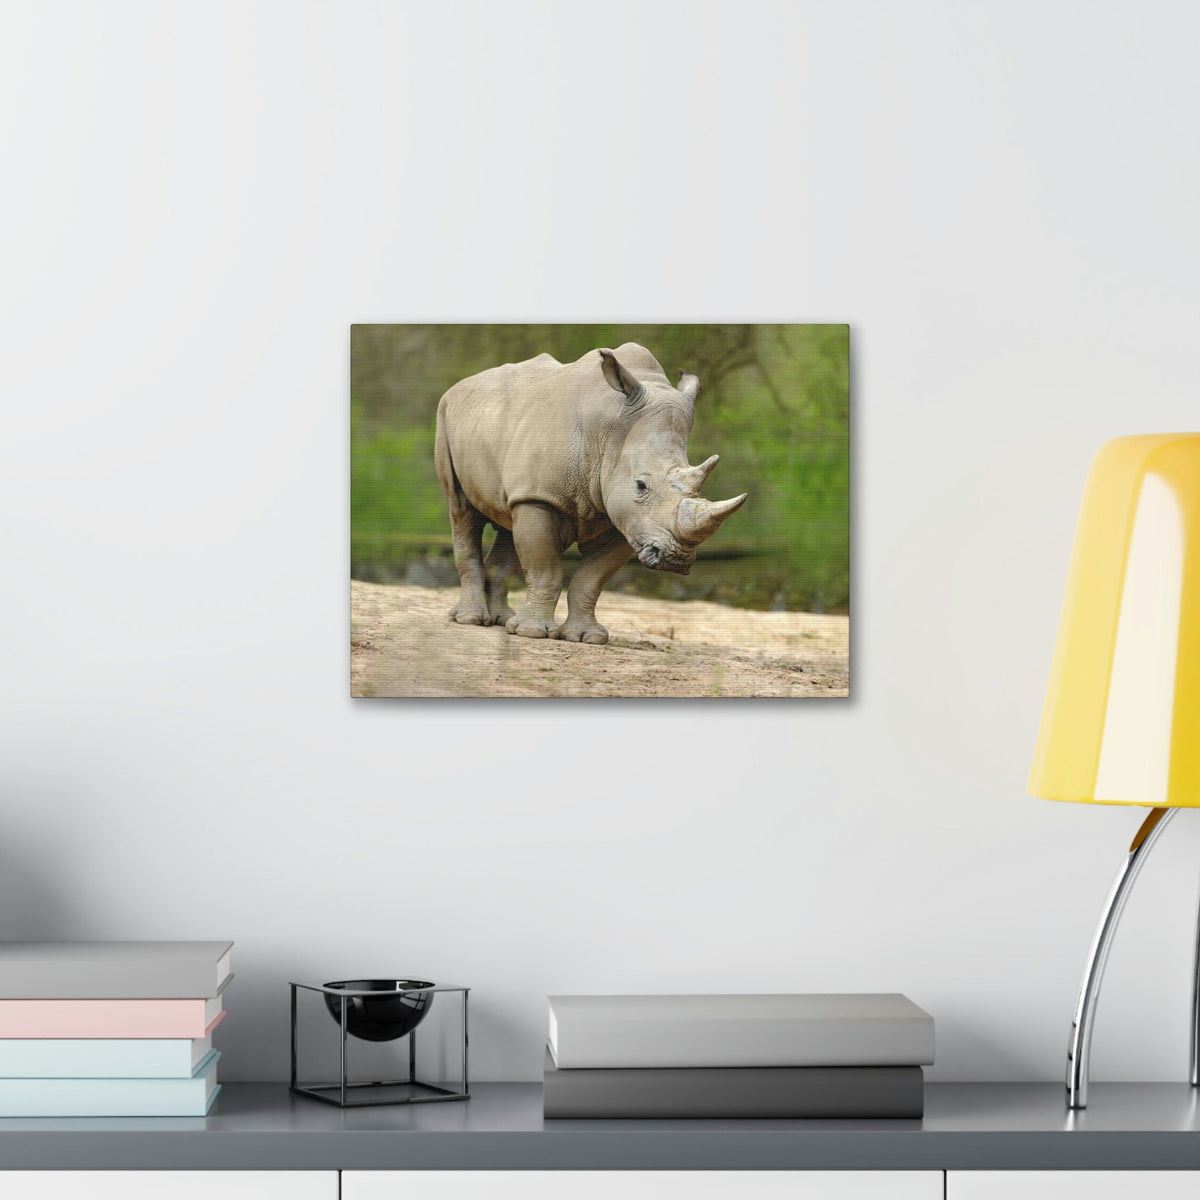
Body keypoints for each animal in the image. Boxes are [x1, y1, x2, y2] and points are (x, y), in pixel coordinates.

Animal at [433, 342, 748, 644]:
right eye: (640, 486)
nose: (676, 558)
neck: (611, 429)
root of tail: (463, 384)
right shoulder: (541, 496)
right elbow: (546, 570)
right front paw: (532, 633)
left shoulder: (628, 519)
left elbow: (591, 579)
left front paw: (586, 637)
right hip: (445, 415)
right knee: (461, 511)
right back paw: (472, 620)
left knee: (508, 521)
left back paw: (501, 620)